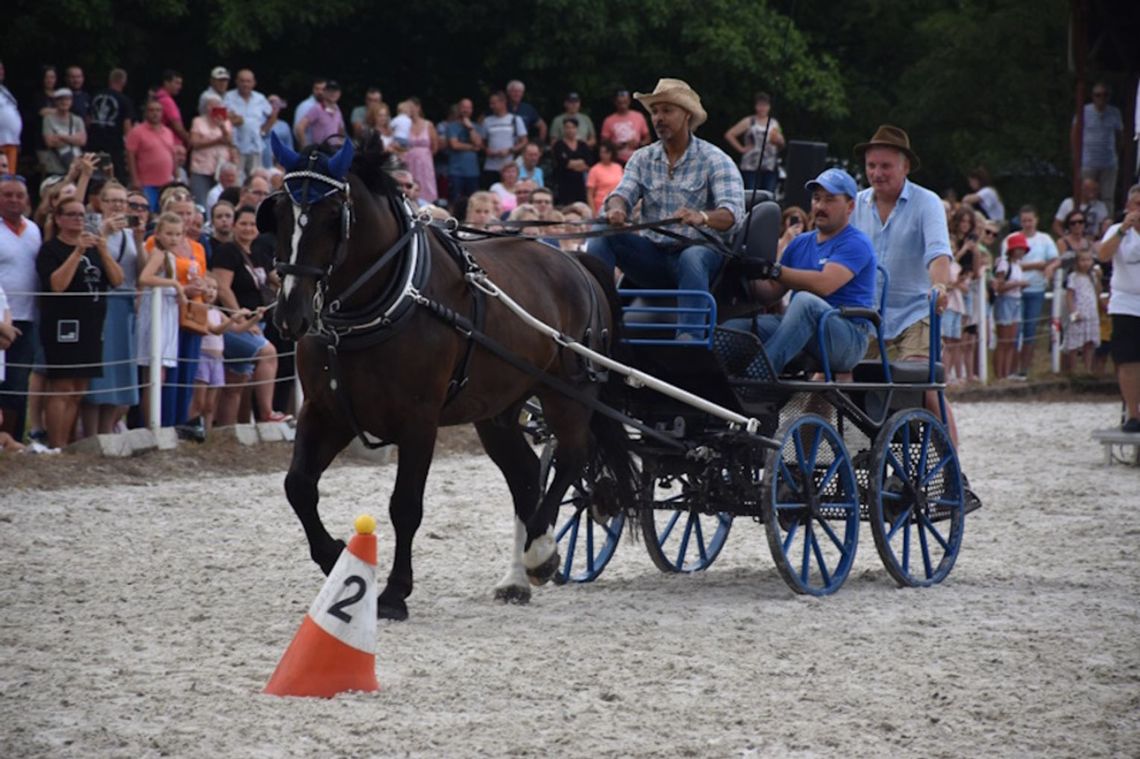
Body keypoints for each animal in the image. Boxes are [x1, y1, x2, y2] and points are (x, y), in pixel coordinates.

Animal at [258, 136, 633, 619]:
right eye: (280, 212)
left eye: (330, 217)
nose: (289, 315)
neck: (388, 300)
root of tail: (575, 261)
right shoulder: (326, 412)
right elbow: (298, 487)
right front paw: (336, 556)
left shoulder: (418, 420)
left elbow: (405, 506)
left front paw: (394, 592)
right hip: (497, 409)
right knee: (526, 474)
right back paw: (521, 572)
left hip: (568, 392)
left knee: (570, 456)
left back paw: (540, 553)